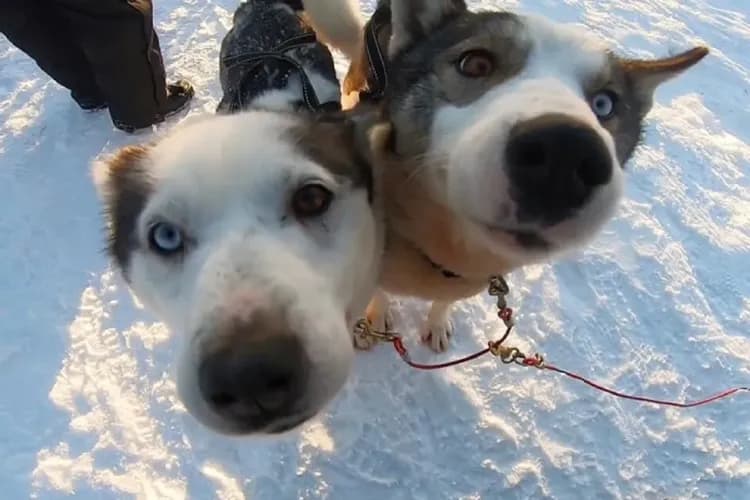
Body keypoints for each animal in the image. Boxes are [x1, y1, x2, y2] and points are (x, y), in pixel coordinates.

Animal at [342, 0, 712, 352]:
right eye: (475, 64)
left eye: (604, 103)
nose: (565, 152)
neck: (444, 255)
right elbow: (378, 291)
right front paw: (372, 321)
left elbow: (444, 300)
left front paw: (437, 322)